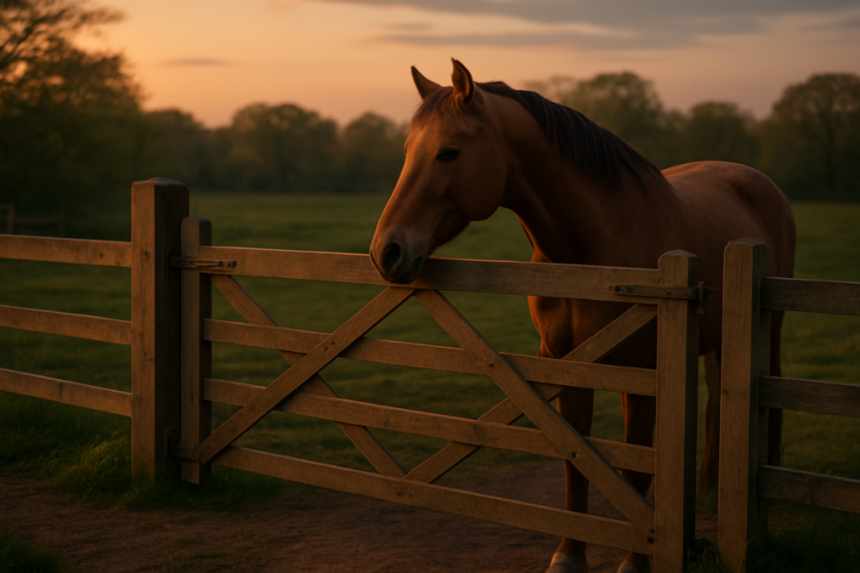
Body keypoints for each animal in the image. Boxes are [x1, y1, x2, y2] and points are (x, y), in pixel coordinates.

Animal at [369, 59, 795, 573]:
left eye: (448, 152)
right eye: (408, 151)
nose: (387, 251)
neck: (595, 246)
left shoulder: (642, 372)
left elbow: (635, 468)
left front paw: (634, 563)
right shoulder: (567, 365)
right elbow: (575, 462)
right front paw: (568, 556)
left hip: (769, 333)